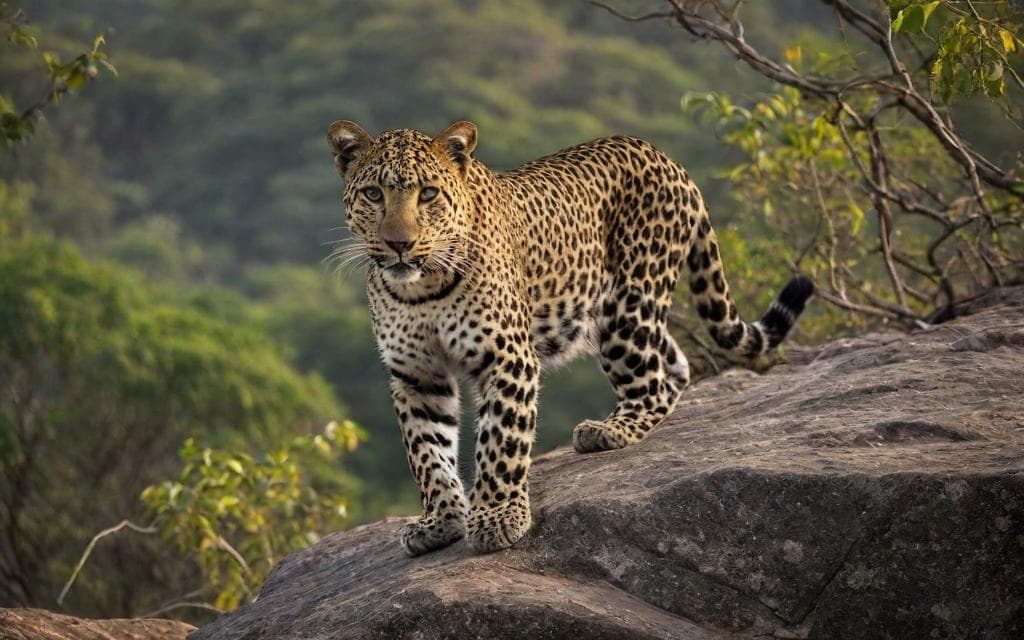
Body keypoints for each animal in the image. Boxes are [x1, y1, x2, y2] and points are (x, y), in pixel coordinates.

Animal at [326, 119, 814, 556]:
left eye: (428, 194)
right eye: (374, 194)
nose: (399, 244)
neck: (421, 287)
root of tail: (665, 158)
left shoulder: (507, 356)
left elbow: (501, 441)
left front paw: (498, 515)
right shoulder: (416, 374)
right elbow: (427, 453)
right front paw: (440, 521)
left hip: (626, 309)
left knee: (652, 380)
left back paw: (609, 430)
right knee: (675, 363)